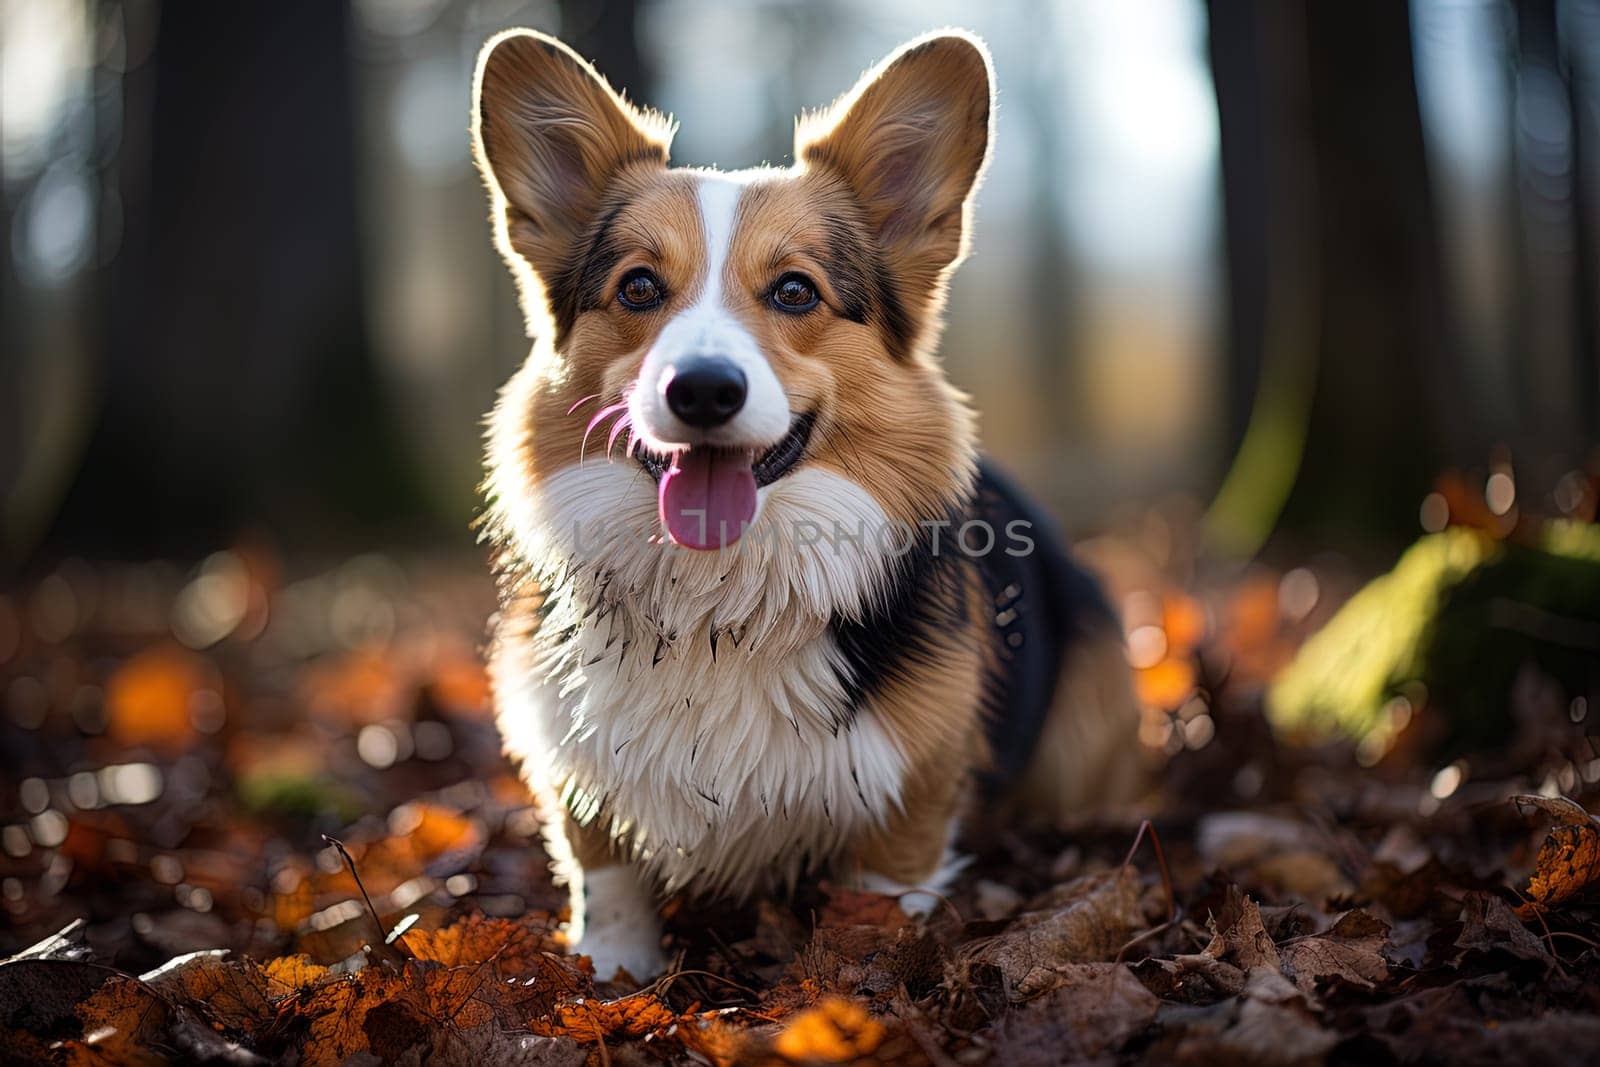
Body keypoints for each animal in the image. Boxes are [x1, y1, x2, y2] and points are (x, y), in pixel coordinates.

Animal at [467, 24, 1145, 979]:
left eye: (795, 290)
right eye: (638, 287)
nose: (702, 390)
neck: (717, 601)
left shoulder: (907, 805)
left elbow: (880, 908)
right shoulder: (577, 772)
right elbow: (608, 885)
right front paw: (610, 976)